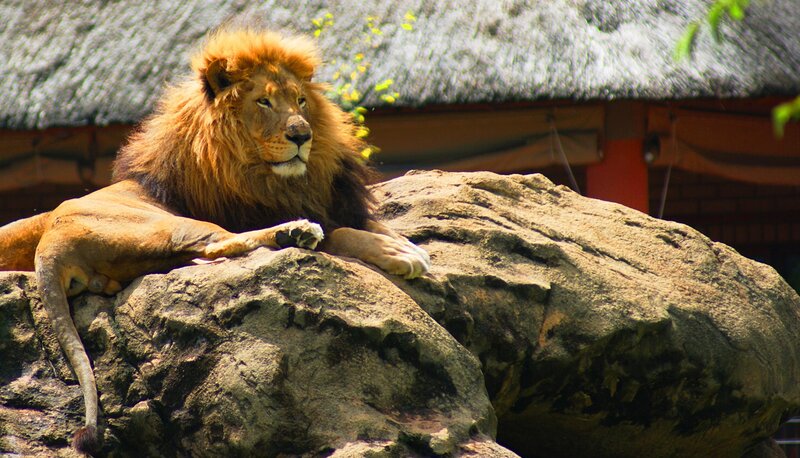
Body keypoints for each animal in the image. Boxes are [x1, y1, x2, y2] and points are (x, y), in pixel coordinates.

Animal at [0, 29, 429, 455]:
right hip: (174, 224)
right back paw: (296, 231)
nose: (302, 135)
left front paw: (404, 244)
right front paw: (399, 254)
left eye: (301, 101)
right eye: (264, 101)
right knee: (221, 245)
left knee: (199, 255)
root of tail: (49, 245)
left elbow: (373, 224)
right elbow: (342, 234)